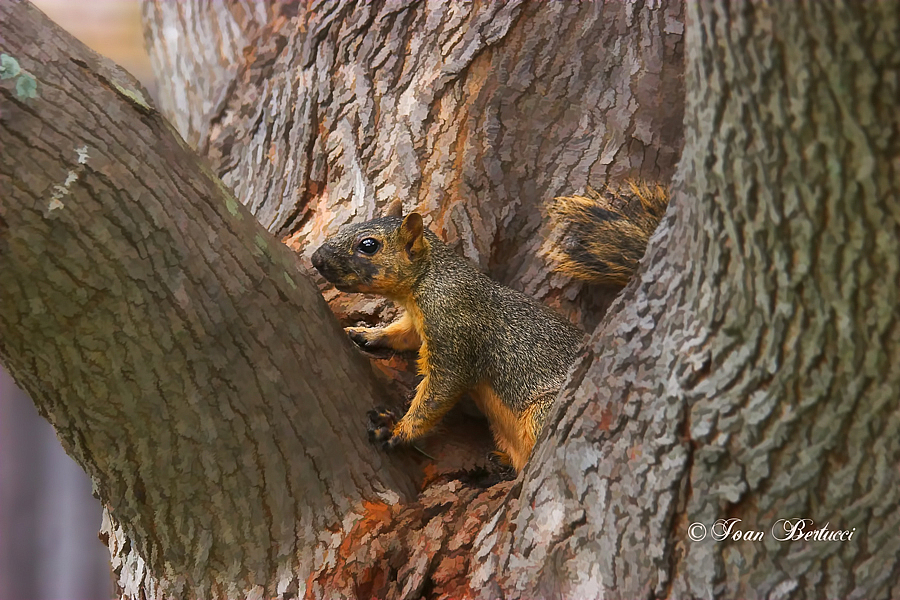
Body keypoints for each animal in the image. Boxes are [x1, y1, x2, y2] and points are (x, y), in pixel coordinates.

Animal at [310, 180, 668, 472]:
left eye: (368, 245)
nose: (316, 258)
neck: (429, 278)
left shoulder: (454, 327)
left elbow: (439, 392)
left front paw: (398, 430)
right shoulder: (419, 323)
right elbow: (402, 334)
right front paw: (367, 334)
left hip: (542, 412)